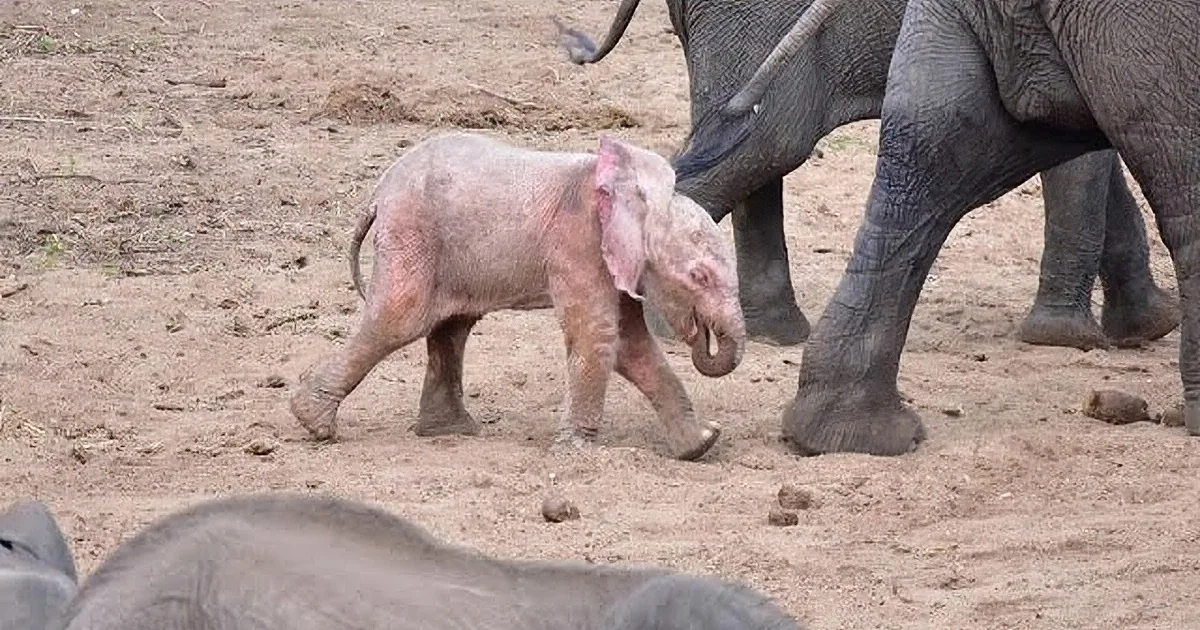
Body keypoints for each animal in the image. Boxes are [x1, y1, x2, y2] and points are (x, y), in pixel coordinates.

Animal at [291, 131, 746, 461]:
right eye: (699, 276)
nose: (703, 334)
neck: (634, 195)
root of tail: (377, 193)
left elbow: (632, 345)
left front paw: (701, 444)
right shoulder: (578, 243)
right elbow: (598, 337)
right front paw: (574, 453)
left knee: (450, 327)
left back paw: (450, 432)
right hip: (412, 235)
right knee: (399, 318)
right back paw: (314, 423)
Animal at [554, 0, 1179, 351]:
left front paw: (1151, 325)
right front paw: (1068, 340)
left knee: (755, 147)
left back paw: (770, 331)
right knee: (765, 142)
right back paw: (672, 326)